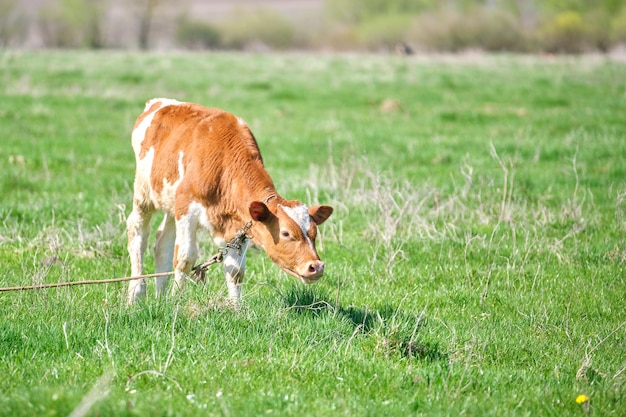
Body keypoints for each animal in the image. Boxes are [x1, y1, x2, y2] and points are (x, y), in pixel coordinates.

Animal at [125, 99, 332, 304]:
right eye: (286, 233)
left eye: (314, 232)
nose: (316, 266)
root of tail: (158, 102)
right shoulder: (186, 208)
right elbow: (185, 259)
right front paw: (178, 301)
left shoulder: (241, 225)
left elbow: (235, 271)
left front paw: (235, 307)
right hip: (144, 193)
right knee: (138, 234)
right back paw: (136, 292)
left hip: (169, 202)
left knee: (162, 244)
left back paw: (160, 296)